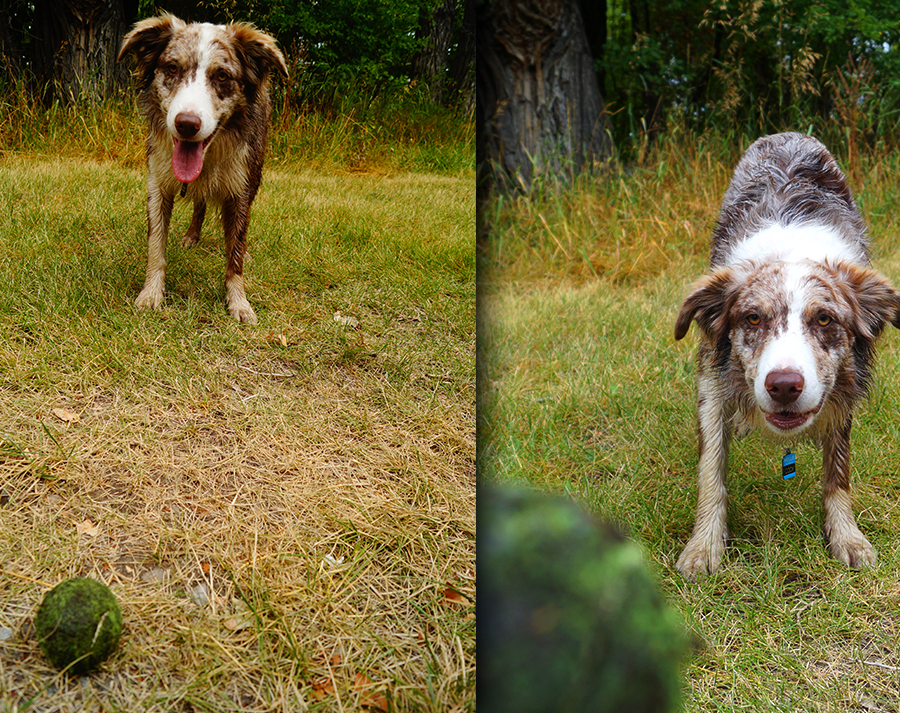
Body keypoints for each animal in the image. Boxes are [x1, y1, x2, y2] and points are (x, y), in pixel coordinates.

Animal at [116, 12, 284, 322]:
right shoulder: (157, 182)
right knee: (200, 204)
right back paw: (192, 236)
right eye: (172, 68)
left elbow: (235, 254)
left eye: (222, 76)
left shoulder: (240, 188)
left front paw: (239, 301)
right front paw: (151, 293)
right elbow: (155, 245)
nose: (186, 124)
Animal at [672, 135, 900, 580]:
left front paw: (846, 536)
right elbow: (711, 468)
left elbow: (838, 471)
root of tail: (788, 135)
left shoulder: (842, 390)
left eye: (824, 318)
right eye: (753, 318)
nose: (783, 386)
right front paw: (703, 545)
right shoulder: (712, 377)